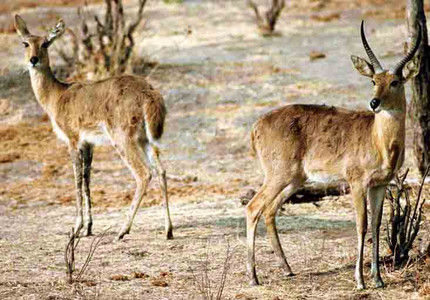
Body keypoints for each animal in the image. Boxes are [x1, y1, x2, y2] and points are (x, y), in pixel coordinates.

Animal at [15, 15, 173, 240]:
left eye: (46, 43)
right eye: (25, 43)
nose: (33, 59)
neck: (57, 96)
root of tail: (148, 93)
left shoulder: (73, 140)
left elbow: (77, 180)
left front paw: (77, 228)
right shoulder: (89, 144)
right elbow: (87, 179)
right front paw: (89, 227)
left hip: (122, 139)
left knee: (144, 174)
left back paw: (122, 231)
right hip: (146, 139)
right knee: (161, 171)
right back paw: (168, 230)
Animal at [247, 20, 422, 288]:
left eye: (395, 81)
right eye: (373, 81)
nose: (374, 103)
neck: (378, 140)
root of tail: (256, 126)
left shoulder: (380, 185)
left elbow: (376, 225)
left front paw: (378, 279)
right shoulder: (357, 182)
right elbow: (361, 226)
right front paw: (360, 281)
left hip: (294, 180)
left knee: (269, 210)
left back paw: (287, 269)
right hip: (278, 177)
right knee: (252, 208)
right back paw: (254, 277)